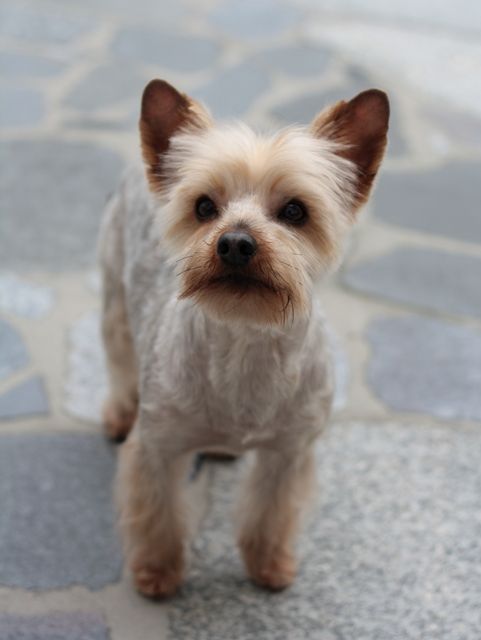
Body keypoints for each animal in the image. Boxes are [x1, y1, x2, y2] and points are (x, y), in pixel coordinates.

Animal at [98, 78, 389, 597]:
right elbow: (158, 514)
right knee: (119, 358)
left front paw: (269, 566)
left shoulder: (289, 454)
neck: (246, 339)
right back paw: (117, 413)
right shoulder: (156, 447)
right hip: (114, 295)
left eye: (295, 211)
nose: (234, 242)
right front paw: (157, 572)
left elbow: (271, 514)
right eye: (203, 207)